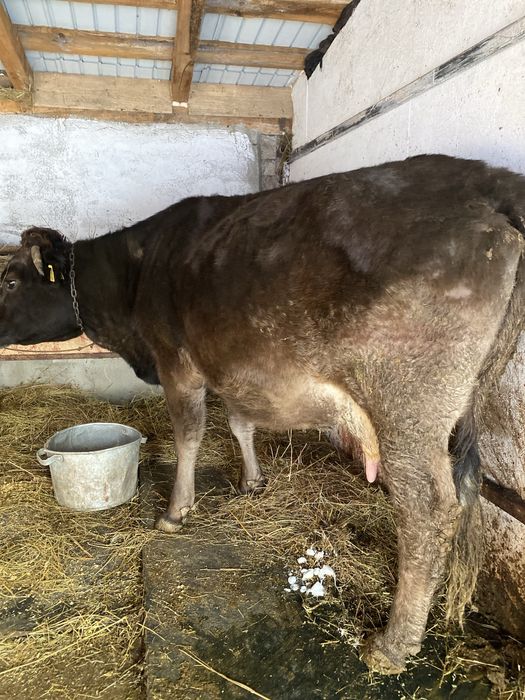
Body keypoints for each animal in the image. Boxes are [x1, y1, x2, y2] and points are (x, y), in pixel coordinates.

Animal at [1, 154, 525, 674]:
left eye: (9, 280)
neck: (137, 275)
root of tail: (490, 180)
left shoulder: (178, 363)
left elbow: (188, 435)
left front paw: (175, 511)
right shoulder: (233, 365)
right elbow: (240, 422)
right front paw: (251, 481)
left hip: (406, 407)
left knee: (427, 509)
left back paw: (392, 645)